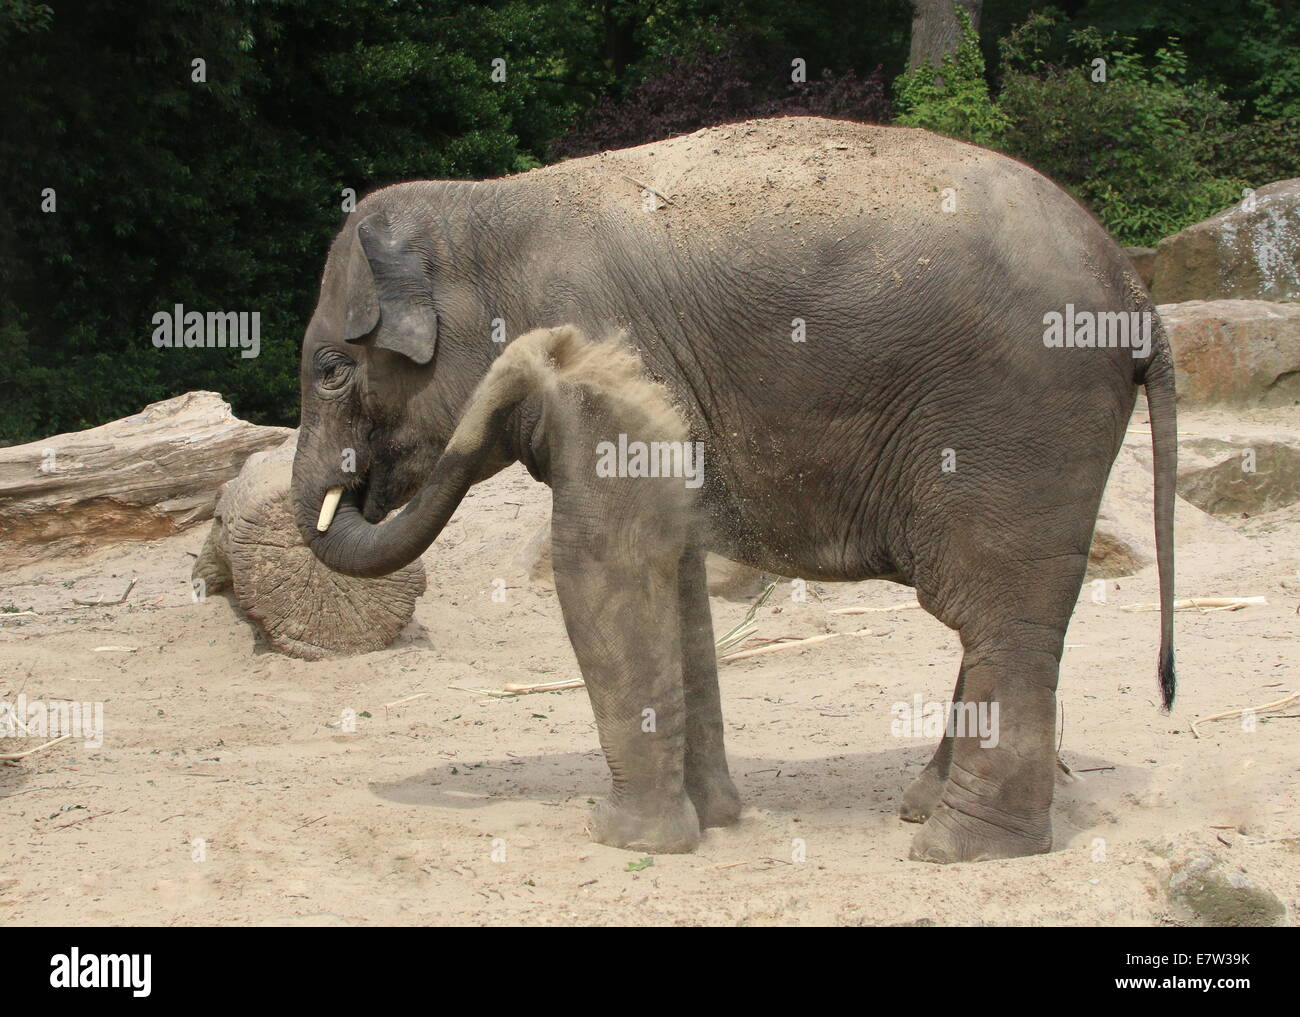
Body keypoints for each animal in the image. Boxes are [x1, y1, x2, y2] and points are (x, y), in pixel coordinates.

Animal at [292, 115, 1180, 863]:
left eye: (331, 371)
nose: (547, 356)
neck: (484, 203)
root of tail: (1139, 298)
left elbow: (600, 557)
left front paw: (626, 838)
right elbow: (673, 564)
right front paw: (714, 819)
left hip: (1019, 421)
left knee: (999, 612)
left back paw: (958, 846)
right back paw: (926, 807)